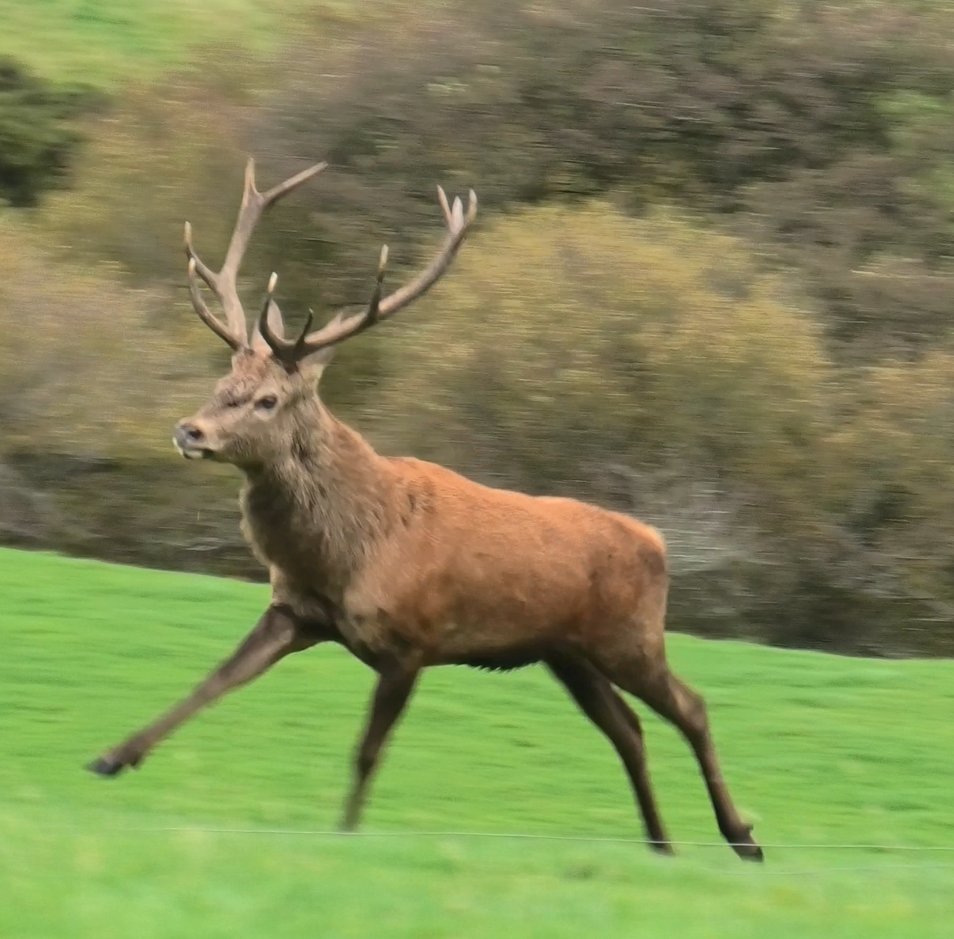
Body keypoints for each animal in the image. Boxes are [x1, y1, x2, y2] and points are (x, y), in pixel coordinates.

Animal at [86, 158, 763, 862]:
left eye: (268, 399)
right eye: (223, 384)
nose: (188, 430)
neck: (344, 553)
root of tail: (658, 542)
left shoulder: (411, 642)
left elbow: (367, 751)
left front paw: (345, 834)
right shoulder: (296, 612)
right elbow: (213, 680)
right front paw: (111, 757)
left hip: (628, 637)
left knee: (692, 707)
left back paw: (742, 837)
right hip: (566, 652)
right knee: (628, 728)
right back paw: (662, 844)